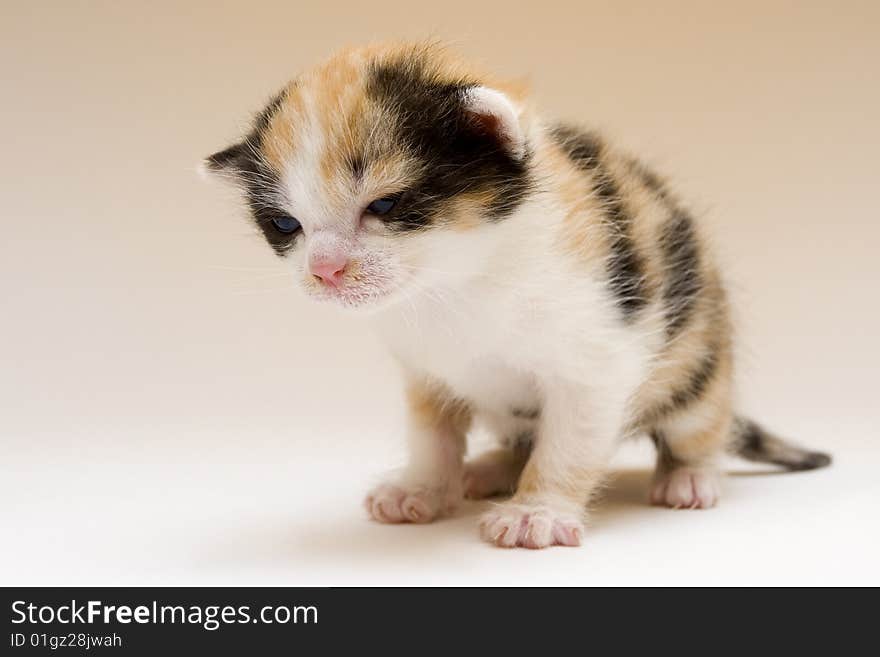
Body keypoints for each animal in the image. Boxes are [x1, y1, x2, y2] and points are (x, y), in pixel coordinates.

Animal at [206, 42, 832, 548]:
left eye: (384, 204)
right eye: (286, 225)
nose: (325, 271)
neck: (458, 283)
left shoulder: (599, 359)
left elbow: (570, 440)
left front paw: (538, 513)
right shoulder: (425, 370)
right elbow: (430, 434)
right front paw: (421, 489)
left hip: (700, 357)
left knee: (698, 426)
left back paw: (690, 478)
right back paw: (488, 471)